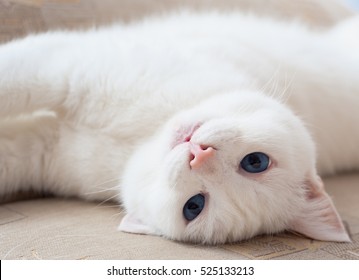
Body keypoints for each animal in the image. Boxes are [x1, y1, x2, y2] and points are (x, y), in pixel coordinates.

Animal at [0, 12, 359, 245]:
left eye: (194, 206)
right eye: (256, 162)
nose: (199, 155)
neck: (139, 139)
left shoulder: (37, 144)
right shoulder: (64, 70)